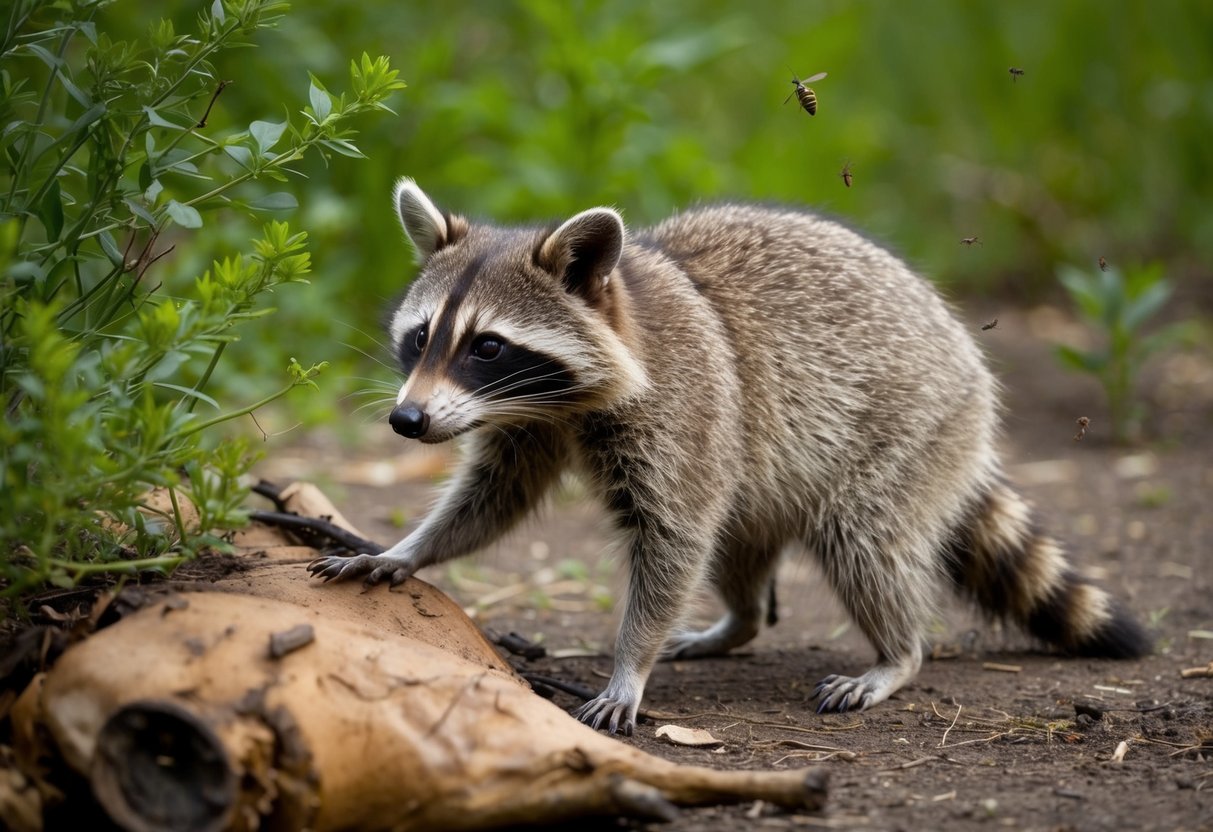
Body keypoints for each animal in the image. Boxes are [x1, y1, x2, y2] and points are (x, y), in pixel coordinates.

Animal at [309, 179, 1149, 735]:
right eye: (422, 337)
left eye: (486, 346)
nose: (407, 421)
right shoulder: (526, 424)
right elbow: (491, 500)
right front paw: (407, 549)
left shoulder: (682, 407)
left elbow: (673, 538)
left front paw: (630, 663)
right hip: (766, 466)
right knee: (740, 544)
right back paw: (737, 621)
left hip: (912, 423)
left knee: (864, 540)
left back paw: (898, 653)